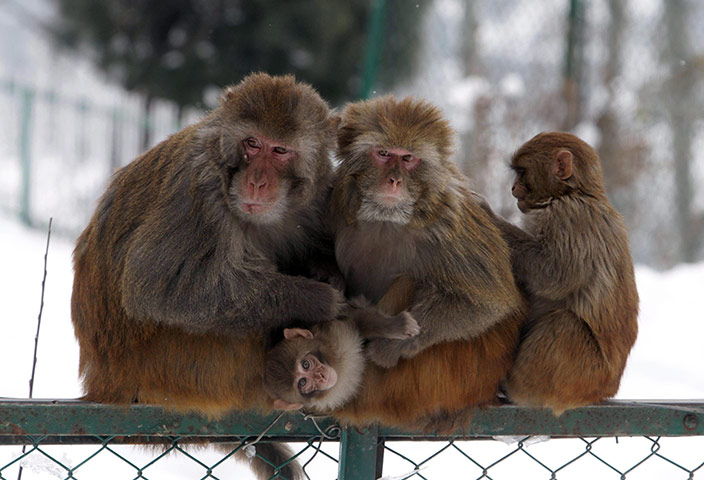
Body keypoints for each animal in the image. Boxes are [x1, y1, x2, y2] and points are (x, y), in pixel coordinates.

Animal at [71, 73, 341, 480]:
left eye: (279, 151)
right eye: (252, 144)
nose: (257, 182)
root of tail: (105, 382)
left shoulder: (318, 197)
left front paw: (326, 272)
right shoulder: (199, 189)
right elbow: (156, 288)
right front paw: (317, 299)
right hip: (179, 368)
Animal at [327, 95, 527, 430]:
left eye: (408, 158)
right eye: (383, 154)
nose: (394, 180)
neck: (386, 219)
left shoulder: (445, 220)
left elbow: (488, 303)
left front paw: (388, 348)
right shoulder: (336, 200)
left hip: (439, 378)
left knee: (410, 282)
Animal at [484, 131, 639, 413]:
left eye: (522, 172)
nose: (513, 188)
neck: (575, 192)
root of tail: (607, 390)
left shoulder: (569, 218)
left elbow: (553, 275)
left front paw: (488, 215)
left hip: (580, 375)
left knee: (565, 324)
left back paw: (513, 388)